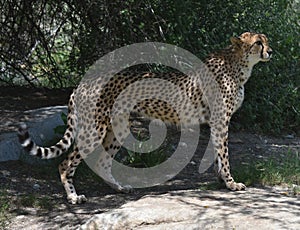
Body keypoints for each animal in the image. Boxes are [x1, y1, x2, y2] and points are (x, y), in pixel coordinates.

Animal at [18, 31, 272, 203]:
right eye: (257, 43)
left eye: (266, 40)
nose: (270, 51)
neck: (239, 65)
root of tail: (83, 82)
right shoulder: (220, 120)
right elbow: (224, 154)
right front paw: (231, 183)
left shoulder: (216, 121)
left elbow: (218, 152)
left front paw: (222, 180)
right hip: (94, 129)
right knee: (65, 163)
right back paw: (73, 197)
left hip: (118, 129)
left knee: (101, 162)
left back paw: (120, 188)